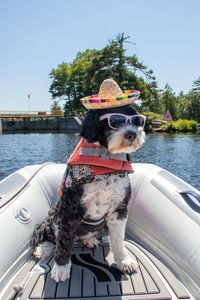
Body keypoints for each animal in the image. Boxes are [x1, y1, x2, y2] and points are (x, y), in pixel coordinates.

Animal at [31, 81, 145, 282]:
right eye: (114, 120)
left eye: (137, 120)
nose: (132, 133)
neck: (105, 164)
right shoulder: (69, 209)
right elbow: (63, 242)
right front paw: (61, 267)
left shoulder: (119, 209)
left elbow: (118, 239)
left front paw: (123, 260)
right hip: (54, 216)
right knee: (48, 234)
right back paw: (43, 248)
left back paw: (89, 240)